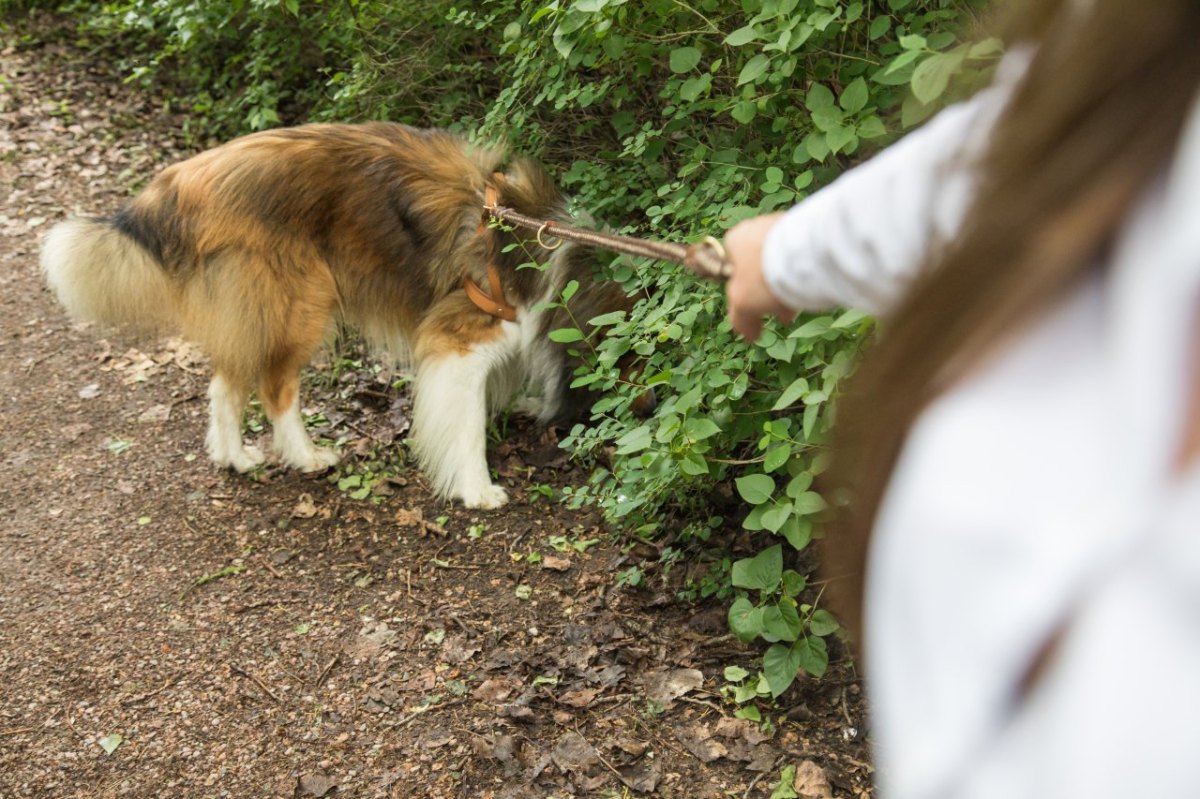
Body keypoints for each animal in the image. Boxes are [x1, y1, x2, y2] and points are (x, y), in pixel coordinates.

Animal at [41, 124, 633, 511]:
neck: (557, 262)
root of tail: (180, 182)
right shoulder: (460, 340)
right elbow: (464, 427)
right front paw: (477, 489)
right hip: (299, 305)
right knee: (274, 386)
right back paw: (305, 456)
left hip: (255, 310)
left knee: (224, 383)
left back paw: (236, 458)